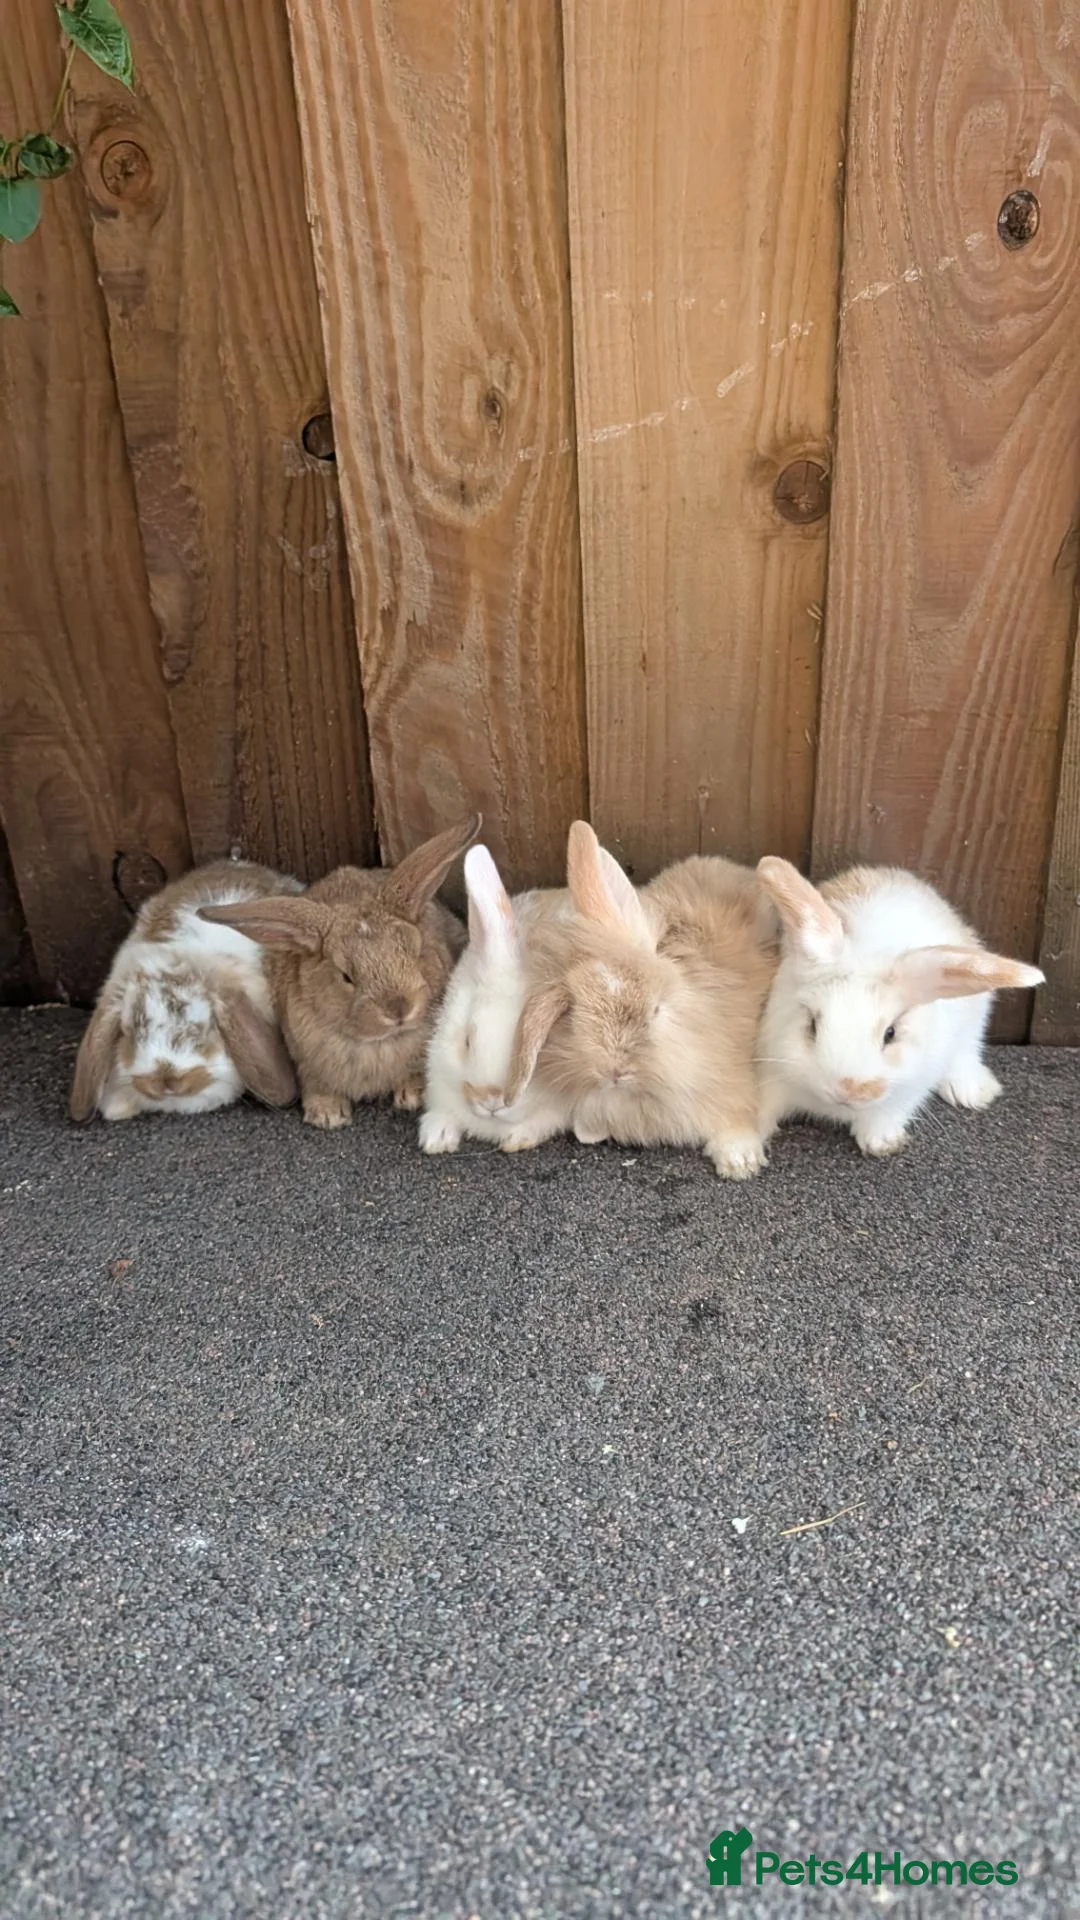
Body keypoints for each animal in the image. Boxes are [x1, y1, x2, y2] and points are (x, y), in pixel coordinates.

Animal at [199, 815, 480, 1128]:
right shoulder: (306, 1058)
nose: (398, 1009)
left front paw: (413, 1096)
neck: (378, 1043)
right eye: (345, 975)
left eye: (417, 951)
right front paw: (328, 1115)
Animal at [504, 822, 780, 1178]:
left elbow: (737, 1121)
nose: (614, 1071)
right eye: (574, 1014)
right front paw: (517, 1136)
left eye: (656, 1009)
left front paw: (740, 1164)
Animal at [754, 857, 1045, 1158]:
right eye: (812, 1025)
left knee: (967, 1050)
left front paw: (881, 1142)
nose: (851, 1090)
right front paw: (747, 1146)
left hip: (974, 1019)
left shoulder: (911, 1086)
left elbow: (889, 1112)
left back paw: (971, 1092)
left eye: (890, 1033)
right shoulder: (772, 1071)